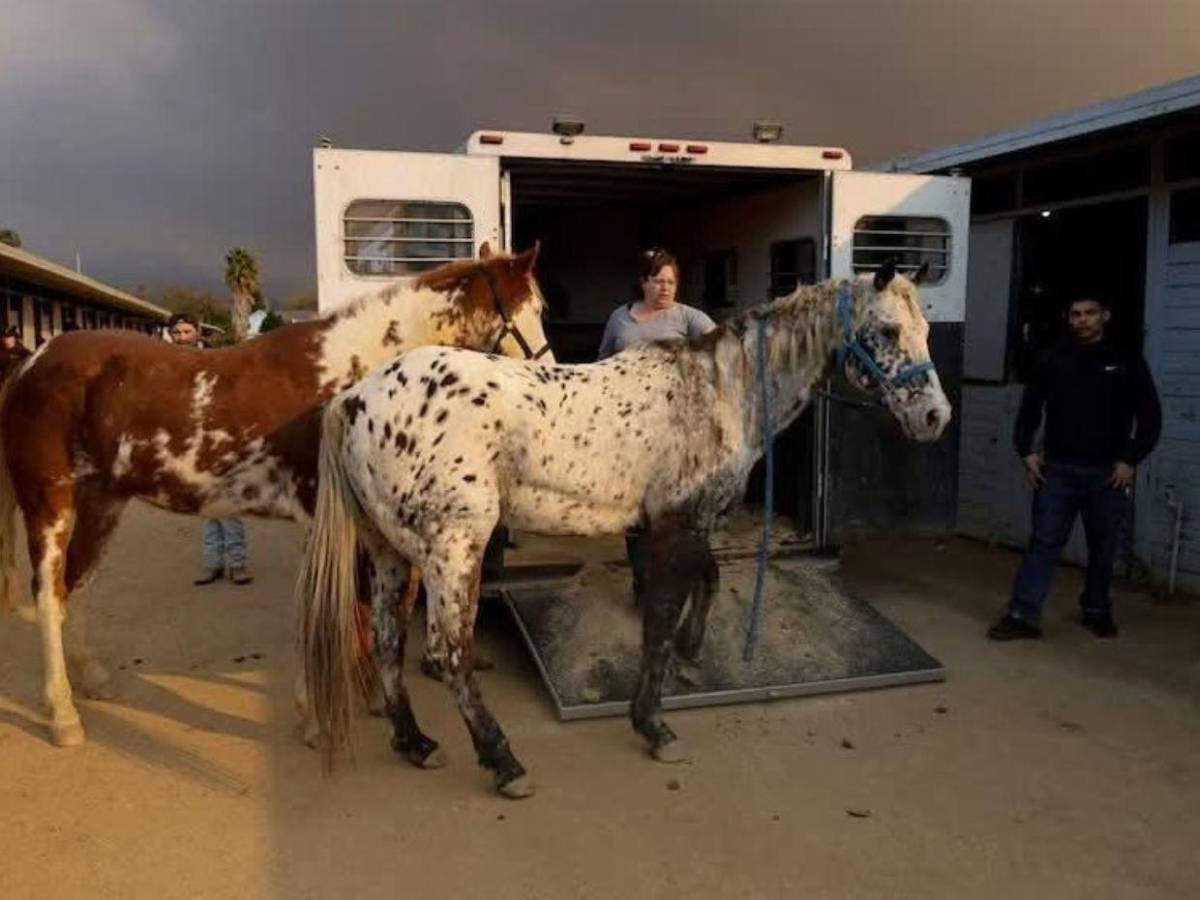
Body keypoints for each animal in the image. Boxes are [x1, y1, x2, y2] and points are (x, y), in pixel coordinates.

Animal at [0, 243, 552, 748]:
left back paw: (91, 678)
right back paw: (63, 715)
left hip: (103, 502)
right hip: (50, 503)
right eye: (537, 307)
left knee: (78, 584)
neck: (347, 380)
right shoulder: (318, 520)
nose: (550, 370)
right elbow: (323, 609)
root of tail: (30, 365)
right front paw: (317, 719)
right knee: (49, 594)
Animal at [297, 260, 945, 796]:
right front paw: (654, 726)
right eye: (889, 331)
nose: (935, 417)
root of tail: (355, 399)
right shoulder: (673, 528)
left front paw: (690, 653)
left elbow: (705, 584)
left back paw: (414, 743)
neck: (717, 393)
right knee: (449, 652)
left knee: (388, 638)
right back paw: (504, 763)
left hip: (388, 549)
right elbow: (657, 622)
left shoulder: (681, 523)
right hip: (455, 550)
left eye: (927, 331)